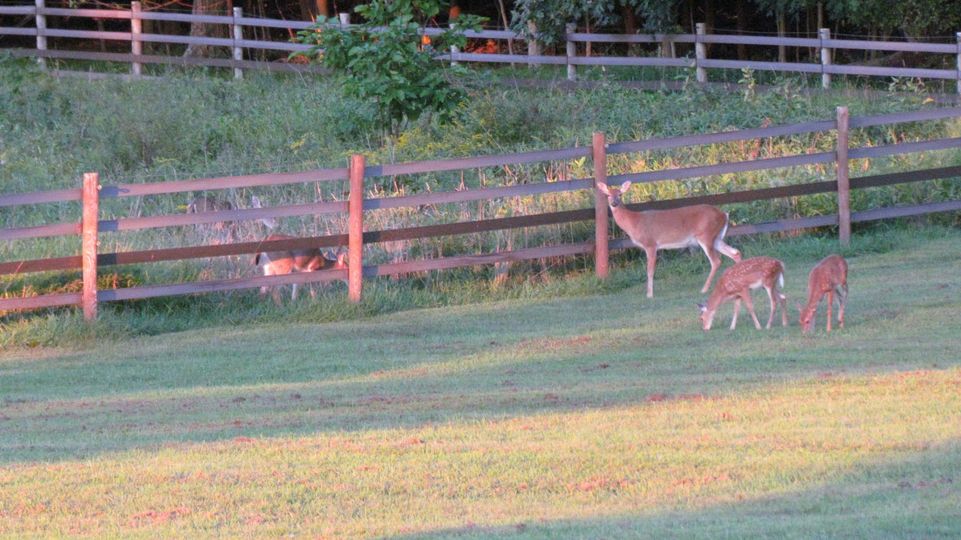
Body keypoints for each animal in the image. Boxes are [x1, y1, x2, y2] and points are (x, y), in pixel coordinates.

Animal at [592, 184, 744, 298]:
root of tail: (724, 214)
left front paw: (649, 294)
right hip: (716, 238)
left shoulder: (651, 243)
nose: (614, 203)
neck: (634, 222)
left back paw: (704, 289)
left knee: (716, 261)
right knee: (735, 252)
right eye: (608, 195)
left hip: (705, 235)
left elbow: (650, 270)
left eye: (620, 194)